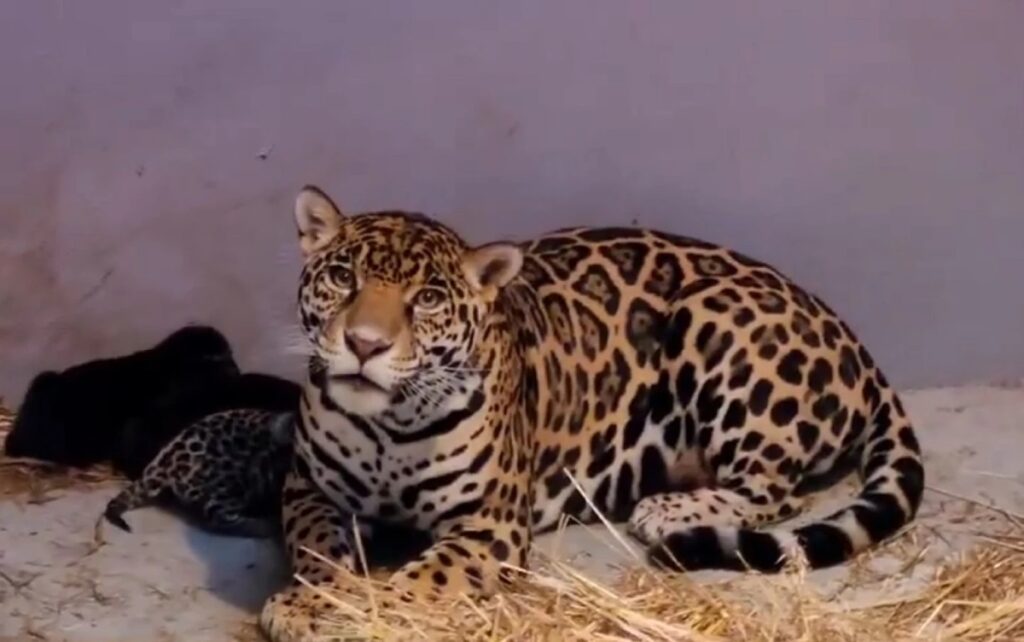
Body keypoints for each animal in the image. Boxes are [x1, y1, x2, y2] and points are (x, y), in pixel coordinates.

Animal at [260, 185, 924, 641]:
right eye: (342, 277)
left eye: (426, 299)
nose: (365, 344)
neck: (387, 427)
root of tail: (852, 339)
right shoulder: (307, 490)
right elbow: (322, 555)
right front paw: (314, 600)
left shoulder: (490, 524)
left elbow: (417, 579)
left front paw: (353, 612)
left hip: (718, 318)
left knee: (775, 492)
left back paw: (666, 510)